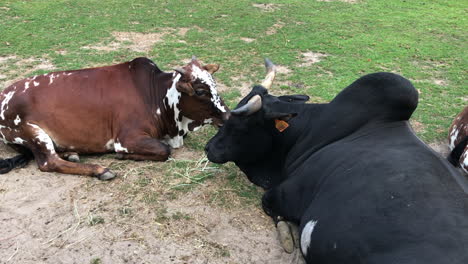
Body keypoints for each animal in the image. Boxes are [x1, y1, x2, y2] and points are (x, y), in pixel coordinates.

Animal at [0, 55, 229, 179]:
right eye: (200, 91)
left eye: (214, 85)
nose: (228, 116)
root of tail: (4, 94)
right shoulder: (127, 138)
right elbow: (165, 150)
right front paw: (121, 156)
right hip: (33, 133)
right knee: (49, 162)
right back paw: (100, 170)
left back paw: (72, 153)